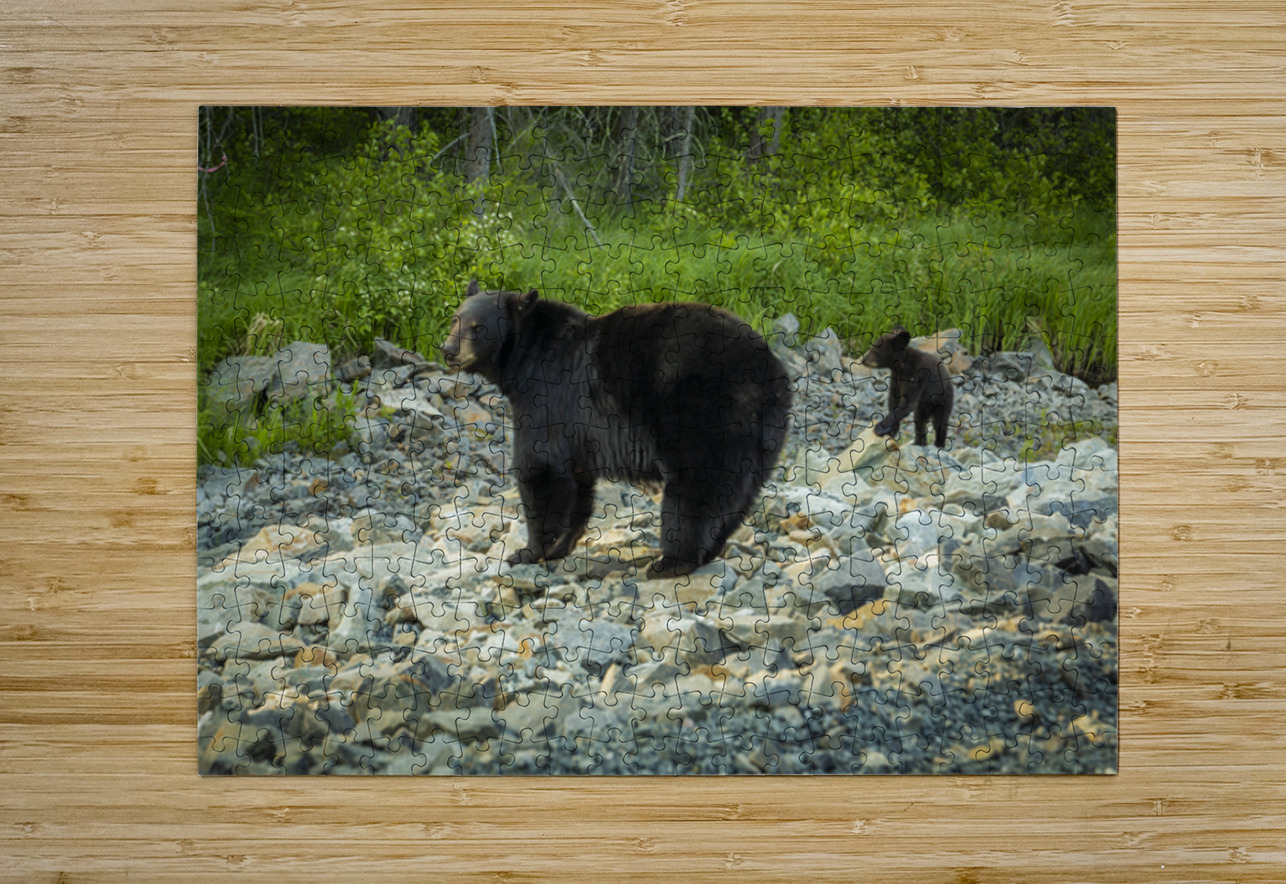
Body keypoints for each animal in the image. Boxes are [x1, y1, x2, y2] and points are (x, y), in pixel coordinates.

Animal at [441, 280, 792, 578]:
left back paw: (672, 561)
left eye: (478, 328)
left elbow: (540, 469)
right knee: (740, 495)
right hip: (762, 437)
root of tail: (770, 372)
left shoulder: (549, 398)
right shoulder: (579, 433)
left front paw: (529, 550)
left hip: (702, 413)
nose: (448, 350)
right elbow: (578, 486)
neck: (525, 358)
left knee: (697, 488)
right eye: (455, 319)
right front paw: (560, 546)